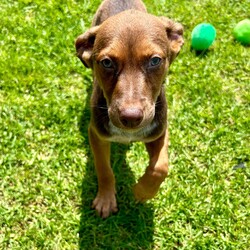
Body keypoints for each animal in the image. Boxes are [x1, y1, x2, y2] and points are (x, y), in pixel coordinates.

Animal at [75, 0, 183, 218]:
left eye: (155, 60)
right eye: (107, 62)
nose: (131, 118)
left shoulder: (159, 131)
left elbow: (161, 167)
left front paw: (142, 192)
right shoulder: (96, 134)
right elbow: (104, 169)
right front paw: (106, 200)